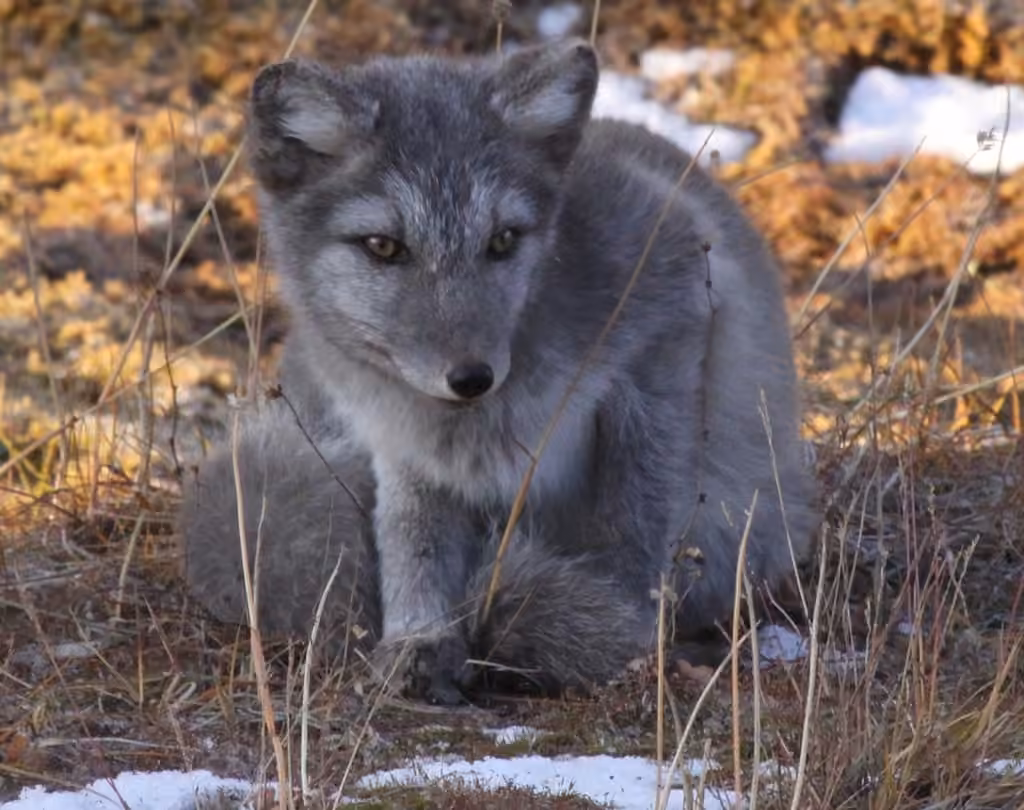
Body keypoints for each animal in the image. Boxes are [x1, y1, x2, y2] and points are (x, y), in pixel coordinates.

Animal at [180, 38, 819, 704]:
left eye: (504, 240)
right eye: (383, 246)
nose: (471, 377)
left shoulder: (671, 319)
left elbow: (633, 519)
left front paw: (625, 630)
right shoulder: (402, 440)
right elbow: (411, 538)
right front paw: (419, 639)